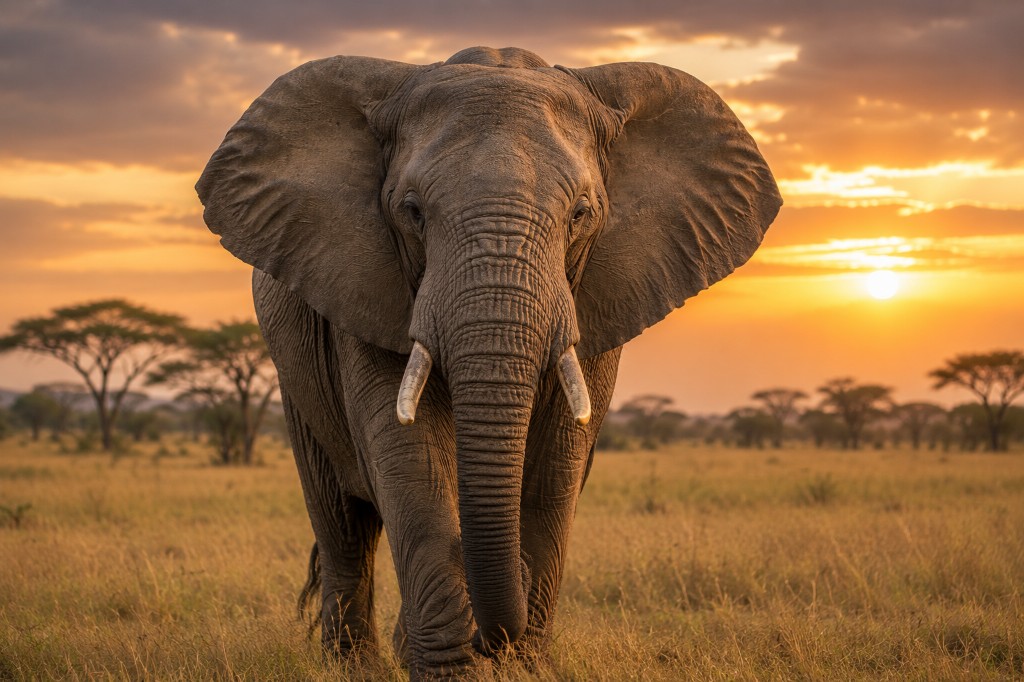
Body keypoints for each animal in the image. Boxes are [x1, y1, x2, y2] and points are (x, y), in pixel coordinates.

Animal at [196, 45, 781, 679]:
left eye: (581, 214)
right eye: (412, 212)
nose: (491, 636)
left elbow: (557, 464)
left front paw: (523, 666)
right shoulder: (366, 286)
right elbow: (411, 459)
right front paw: (451, 669)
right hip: (294, 376)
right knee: (342, 526)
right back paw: (353, 664)